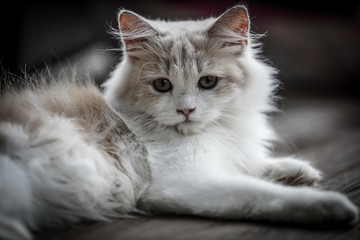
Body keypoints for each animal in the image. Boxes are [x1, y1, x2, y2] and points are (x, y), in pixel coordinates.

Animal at [0, 4, 358, 240]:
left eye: (208, 82)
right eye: (162, 85)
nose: (186, 111)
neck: (216, 133)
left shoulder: (227, 157)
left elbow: (255, 165)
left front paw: (297, 171)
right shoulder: (188, 181)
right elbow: (260, 193)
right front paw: (328, 206)